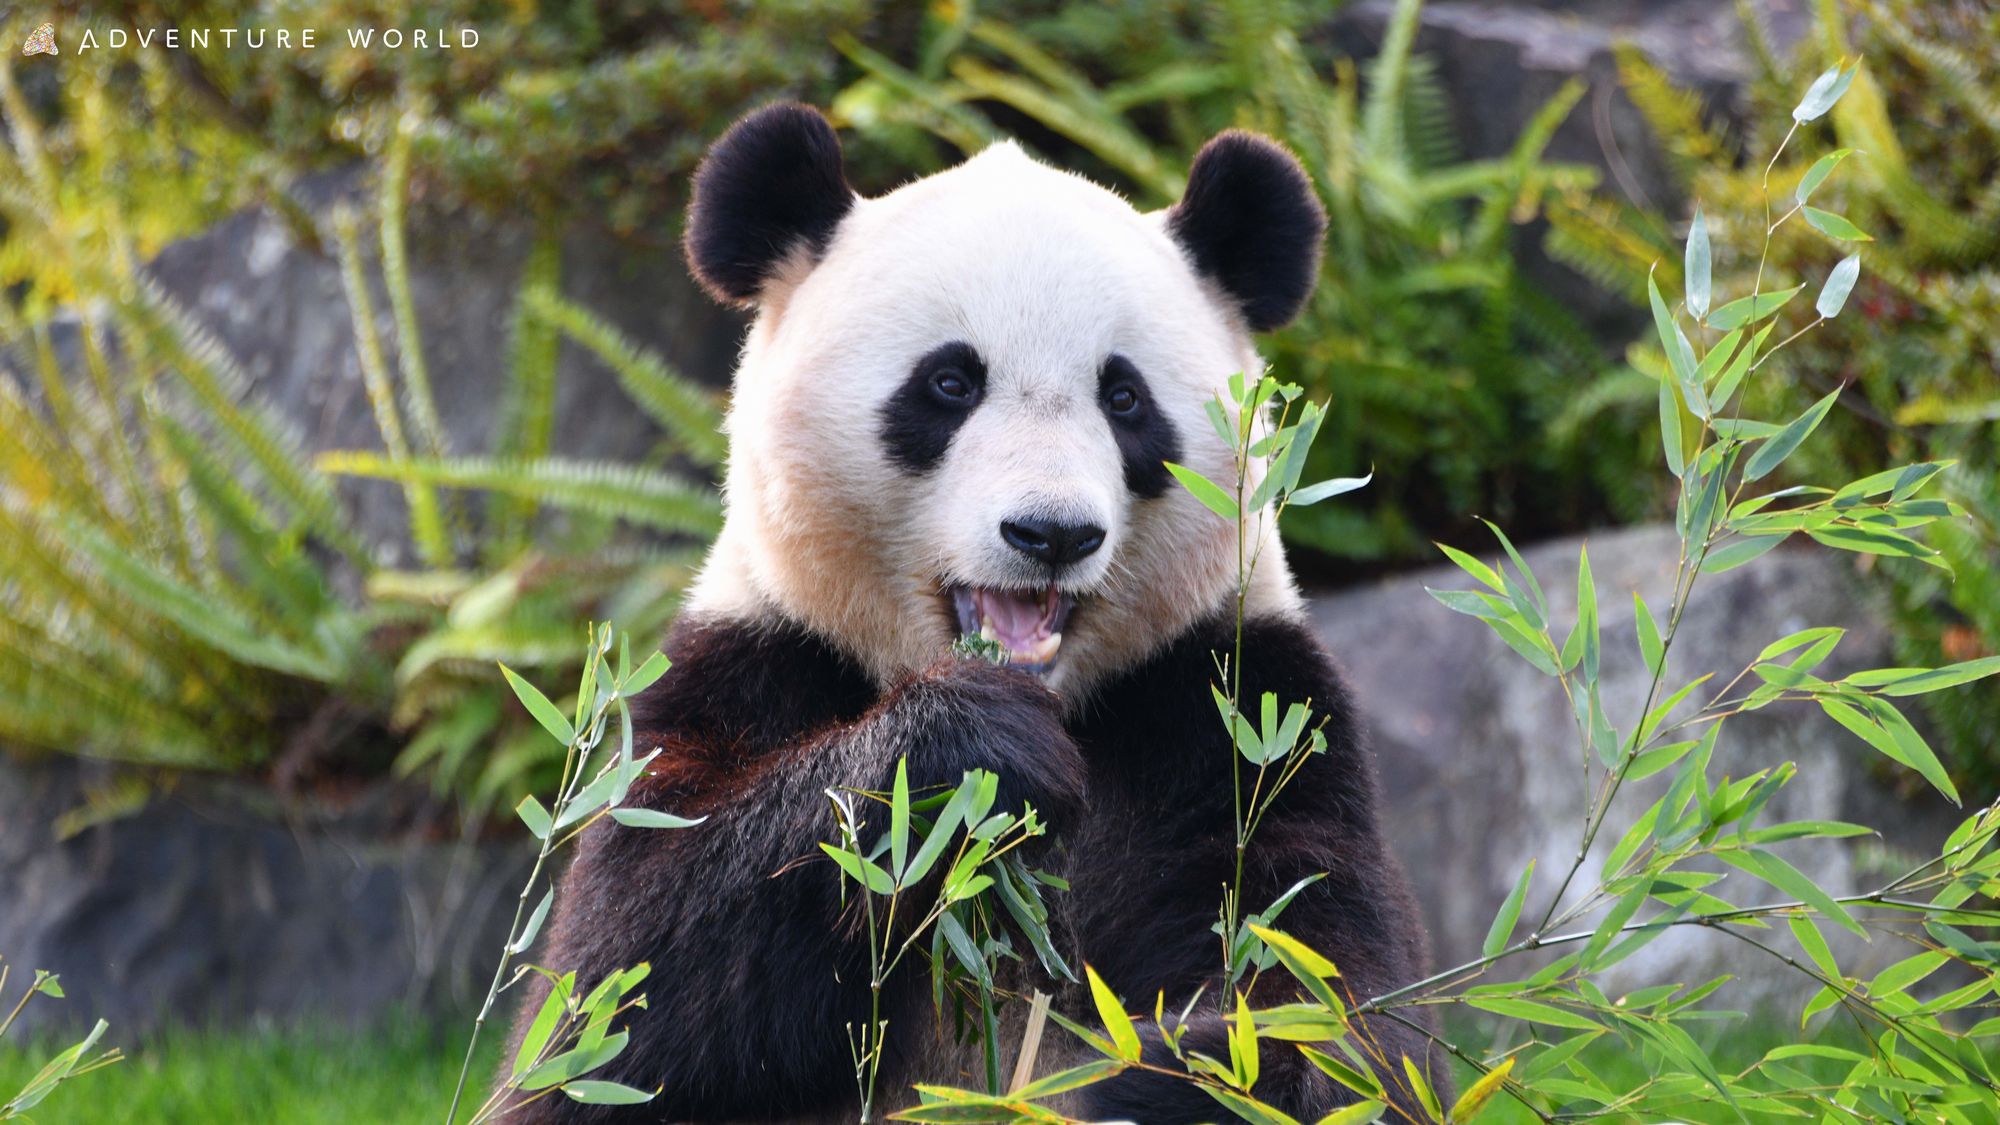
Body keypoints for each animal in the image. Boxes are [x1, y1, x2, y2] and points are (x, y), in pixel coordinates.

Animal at [504, 105, 1440, 1120]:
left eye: (1125, 397)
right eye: (950, 382)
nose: (1052, 532)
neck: (1056, 697)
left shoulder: (1237, 711)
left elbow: (1328, 975)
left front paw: (1197, 1068)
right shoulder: (753, 666)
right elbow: (619, 995)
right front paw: (975, 747)